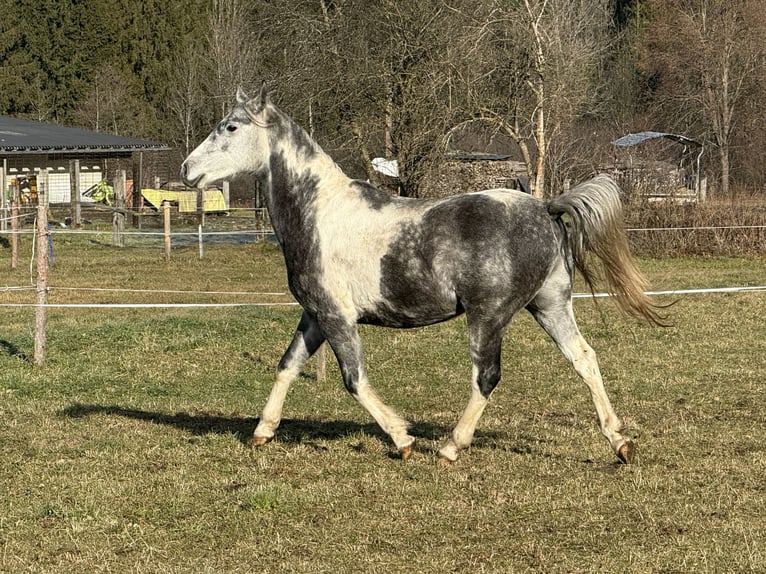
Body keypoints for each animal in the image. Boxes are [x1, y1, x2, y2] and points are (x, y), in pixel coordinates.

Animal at [181, 86, 666, 464]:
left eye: (231, 127)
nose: (187, 170)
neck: (318, 213)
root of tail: (545, 207)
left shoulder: (338, 318)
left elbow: (354, 381)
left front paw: (403, 440)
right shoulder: (315, 316)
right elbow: (286, 367)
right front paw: (262, 432)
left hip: (488, 317)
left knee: (486, 377)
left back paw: (451, 447)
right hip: (549, 306)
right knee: (584, 358)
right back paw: (620, 443)